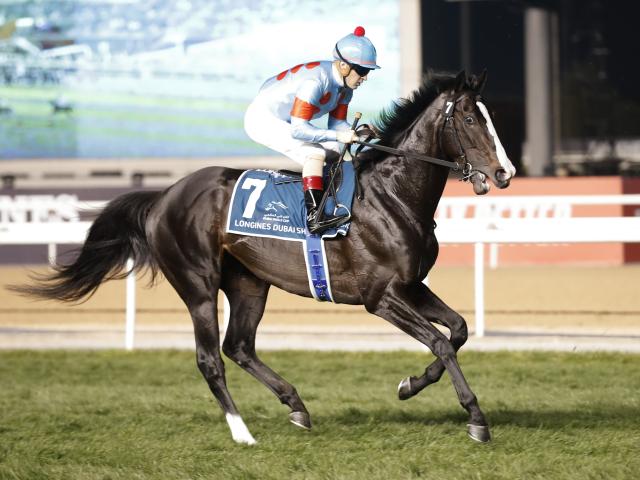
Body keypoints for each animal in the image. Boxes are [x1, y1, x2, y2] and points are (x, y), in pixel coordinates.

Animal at [12, 70, 515, 445]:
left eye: (489, 116)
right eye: (469, 119)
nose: (505, 173)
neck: (392, 198)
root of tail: (164, 196)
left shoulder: (410, 286)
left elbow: (458, 330)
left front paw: (410, 385)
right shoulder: (381, 297)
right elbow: (441, 342)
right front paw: (475, 418)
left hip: (249, 281)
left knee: (238, 345)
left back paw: (296, 406)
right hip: (198, 284)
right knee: (209, 358)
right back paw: (242, 433)